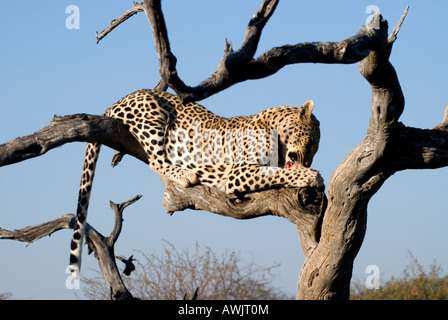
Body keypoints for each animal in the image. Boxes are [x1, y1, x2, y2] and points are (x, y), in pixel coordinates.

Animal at [68, 89, 324, 278]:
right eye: (312, 142)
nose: (307, 161)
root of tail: (119, 100)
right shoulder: (238, 173)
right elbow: (278, 174)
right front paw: (312, 176)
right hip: (153, 114)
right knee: (155, 159)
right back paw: (184, 174)